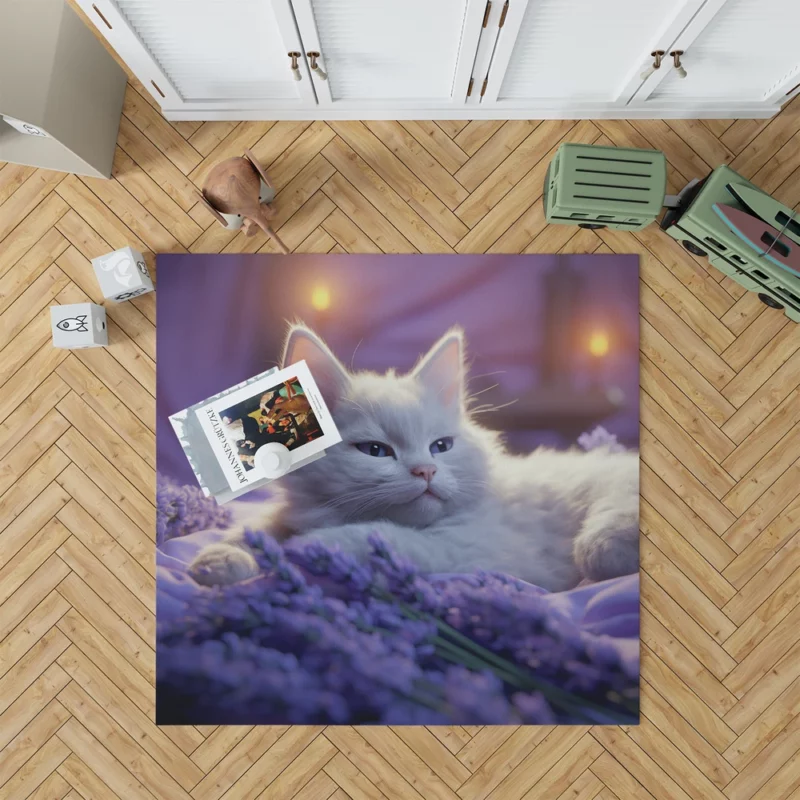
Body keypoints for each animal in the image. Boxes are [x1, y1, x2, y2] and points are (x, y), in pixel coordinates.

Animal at [186, 324, 636, 592]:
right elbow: (253, 528)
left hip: (604, 522)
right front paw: (221, 558)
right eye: (375, 451)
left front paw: (304, 549)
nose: (427, 470)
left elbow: (377, 538)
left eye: (441, 447)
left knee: (598, 548)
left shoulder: (475, 549)